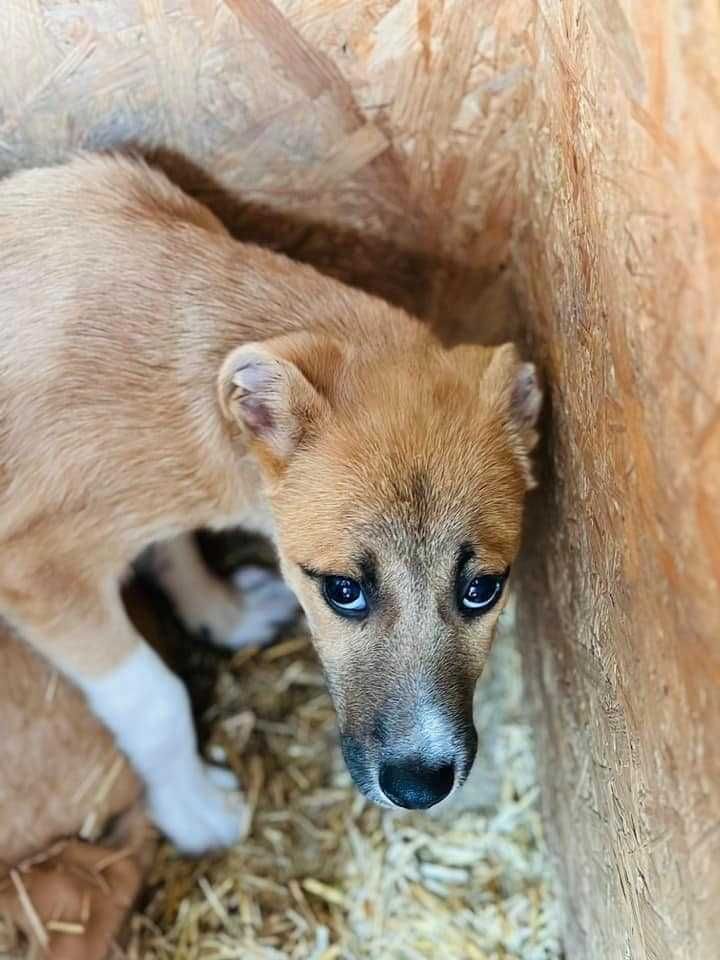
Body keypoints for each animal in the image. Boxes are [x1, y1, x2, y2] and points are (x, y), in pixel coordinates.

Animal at [0, 154, 540, 852]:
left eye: (483, 590)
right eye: (342, 590)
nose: (420, 788)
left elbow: (175, 548)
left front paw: (223, 613)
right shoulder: (40, 568)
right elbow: (154, 697)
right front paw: (196, 808)